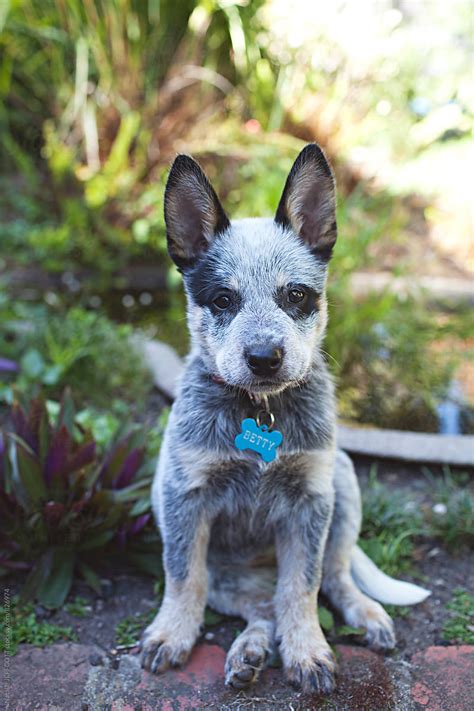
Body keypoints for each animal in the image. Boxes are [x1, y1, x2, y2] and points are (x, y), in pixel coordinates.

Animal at [140, 143, 430, 696]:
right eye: (223, 299)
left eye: (295, 294)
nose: (263, 357)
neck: (259, 409)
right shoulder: (185, 494)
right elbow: (183, 575)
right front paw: (171, 633)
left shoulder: (310, 501)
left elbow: (303, 584)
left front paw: (308, 650)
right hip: (230, 578)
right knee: (260, 610)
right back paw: (248, 653)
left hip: (343, 482)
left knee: (333, 576)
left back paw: (365, 615)